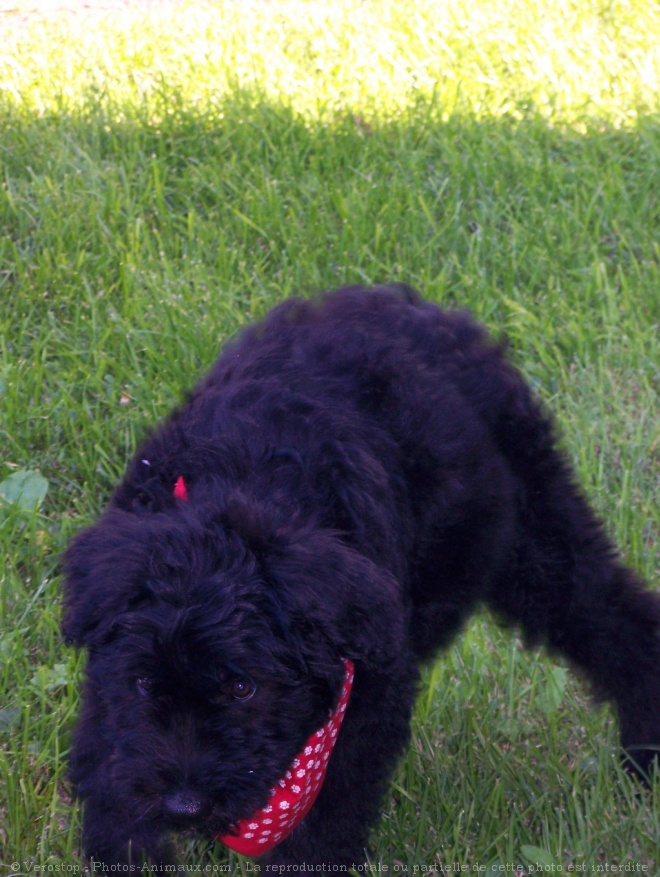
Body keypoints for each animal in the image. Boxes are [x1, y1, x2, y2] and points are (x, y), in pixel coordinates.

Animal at [63, 284, 660, 864]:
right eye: (144, 682)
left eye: (242, 688)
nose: (183, 807)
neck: (241, 485)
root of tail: (430, 310)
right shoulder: (110, 690)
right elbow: (109, 769)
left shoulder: (369, 698)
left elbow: (325, 818)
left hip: (537, 540)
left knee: (618, 618)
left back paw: (646, 755)